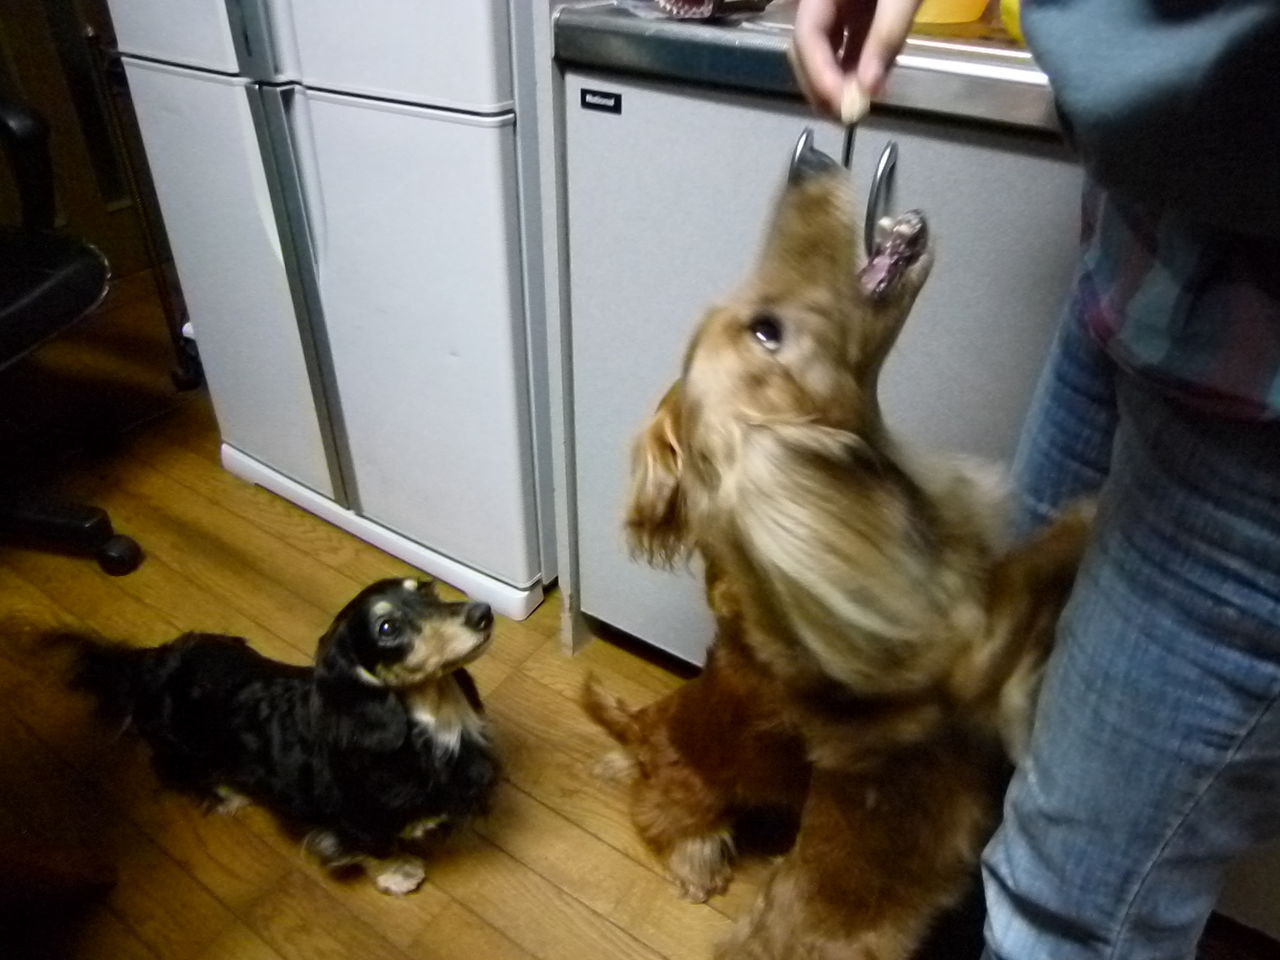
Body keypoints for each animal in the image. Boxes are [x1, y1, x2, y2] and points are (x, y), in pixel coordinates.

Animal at [61, 577, 499, 896]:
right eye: (387, 628)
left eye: (428, 590)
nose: (484, 613)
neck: (434, 721)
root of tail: (150, 665)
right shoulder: (356, 820)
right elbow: (375, 847)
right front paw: (400, 872)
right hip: (182, 750)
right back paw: (228, 793)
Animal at [626, 131, 1091, 958]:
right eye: (767, 331)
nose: (808, 158)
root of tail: (636, 722)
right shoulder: (977, 665)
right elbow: (1027, 583)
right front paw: (1097, 514)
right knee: (682, 829)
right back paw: (698, 865)